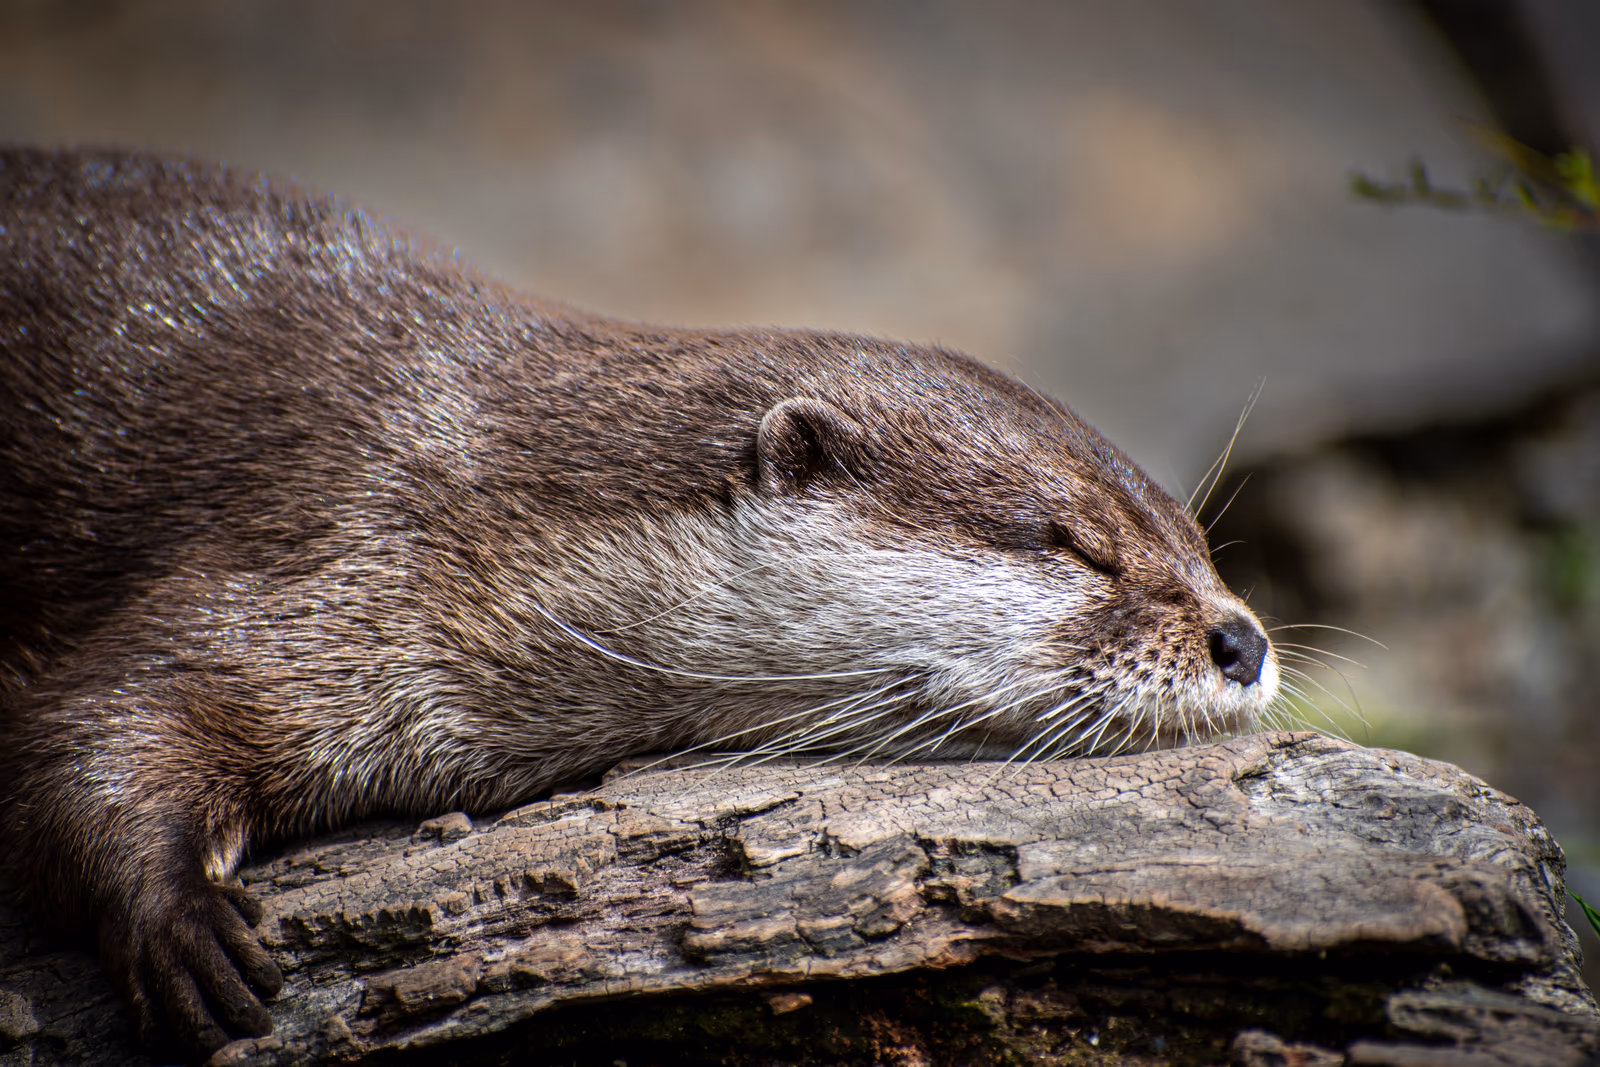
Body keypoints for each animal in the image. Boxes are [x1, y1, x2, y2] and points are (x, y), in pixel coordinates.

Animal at [0, 147, 1277, 1059]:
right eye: (1071, 543)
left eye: (1197, 539)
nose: (1241, 638)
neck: (473, 497)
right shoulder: (319, 531)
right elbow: (92, 723)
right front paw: (182, 921)